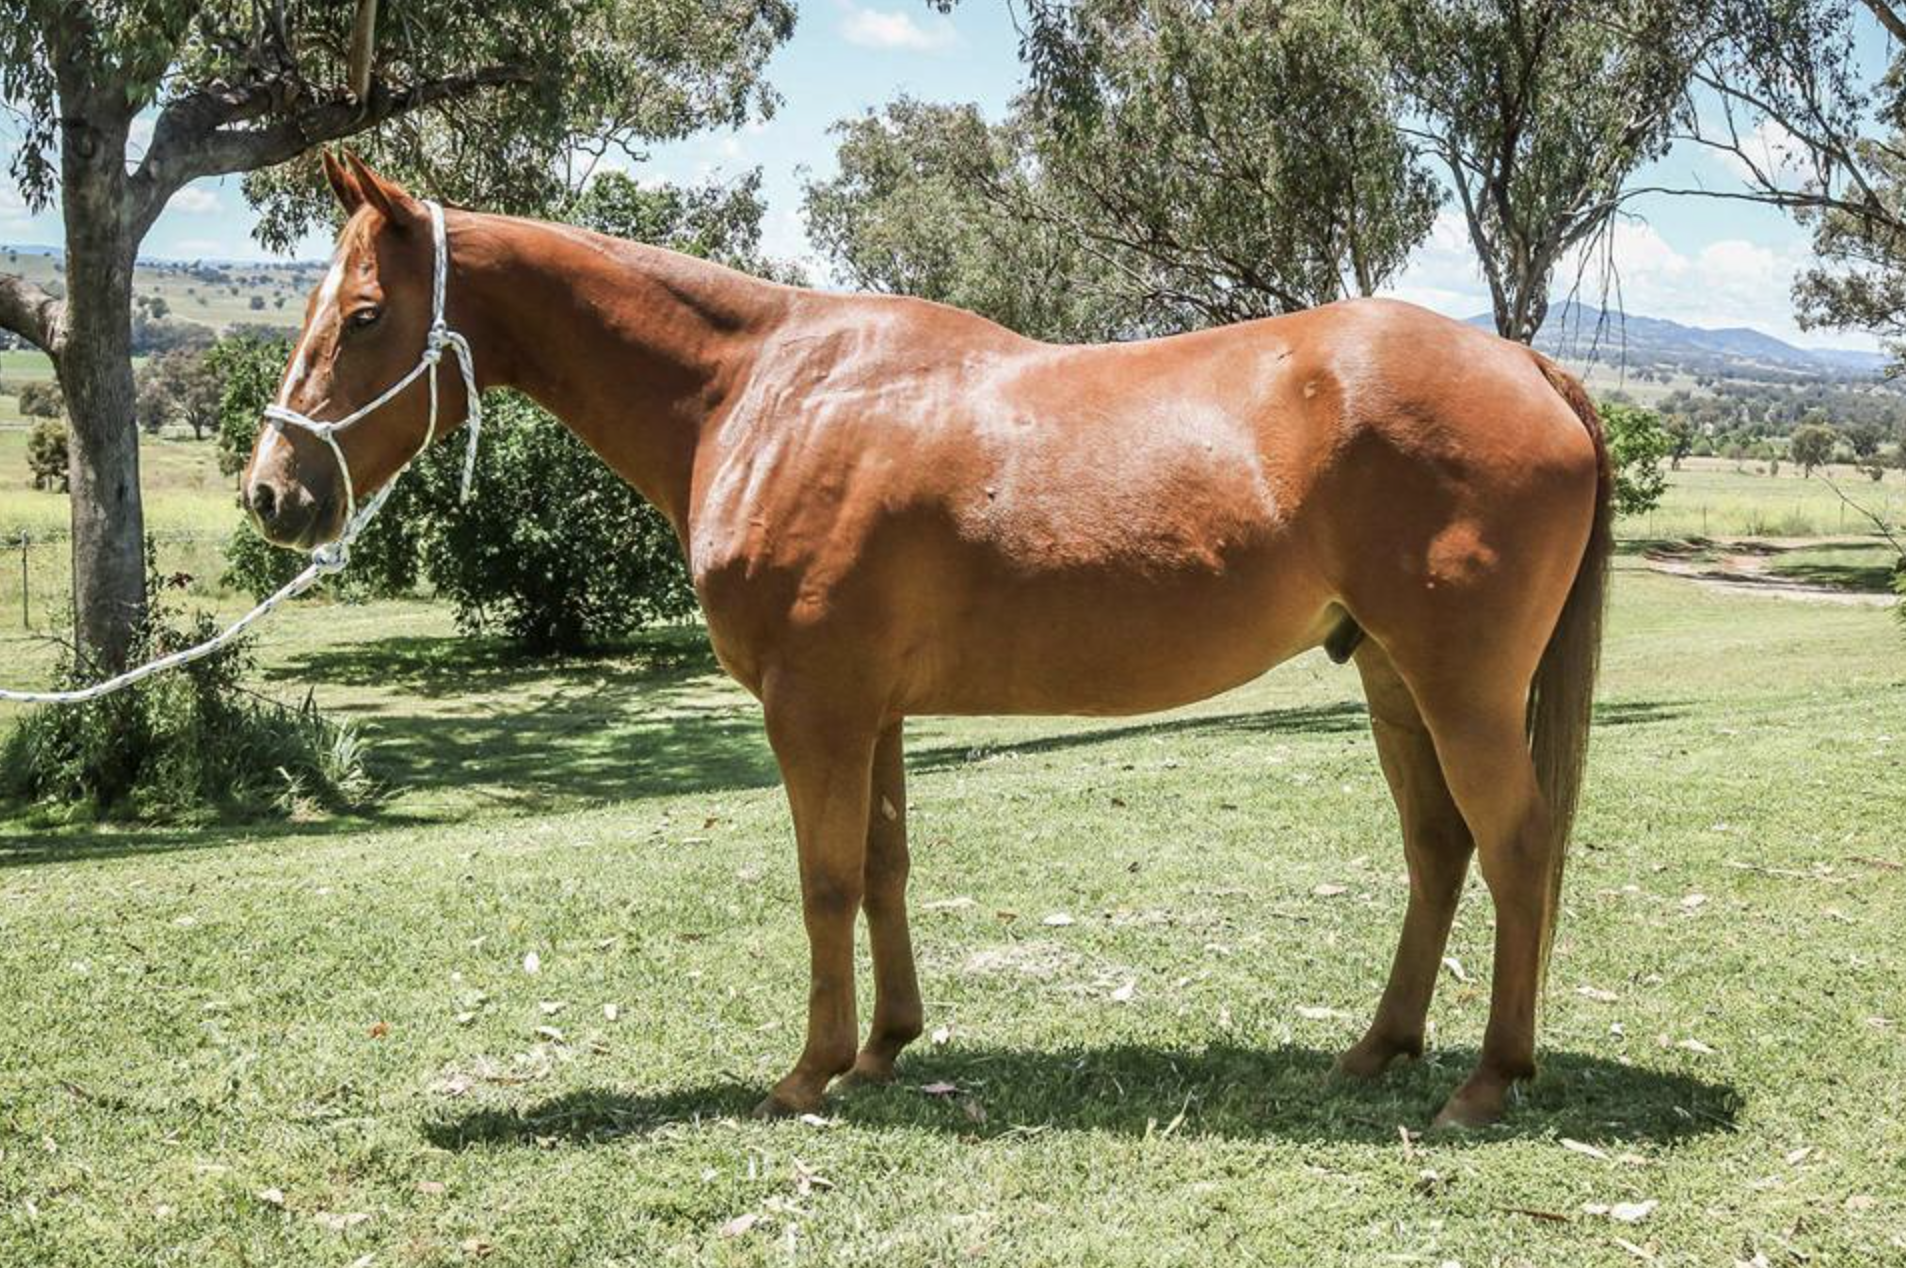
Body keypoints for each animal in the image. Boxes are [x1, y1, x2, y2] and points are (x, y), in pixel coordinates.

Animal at [245, 152, 1613, 1130]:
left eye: (362, 315)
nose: (273, 494)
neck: (762, 391)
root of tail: (1526, 366)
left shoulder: (811, 706)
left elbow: (824, 879)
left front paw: (808, 1071)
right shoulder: (875, 708)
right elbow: (886, 868)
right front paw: (884, 1049)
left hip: (1460, 688)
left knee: (1515, 844)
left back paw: (1487, 1078)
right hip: (1388, 676)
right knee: (1438, 848)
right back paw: (1377, 1049)